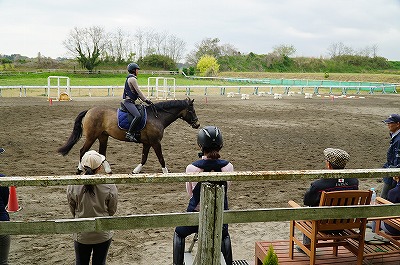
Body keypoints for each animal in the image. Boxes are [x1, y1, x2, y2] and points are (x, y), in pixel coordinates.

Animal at [57, 98, 200, 172]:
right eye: (192, 110)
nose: (197, 124)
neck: (157, 117)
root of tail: (89, 110)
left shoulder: (147, 143)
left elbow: (144, 158)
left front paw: (136, 170)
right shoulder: (155, 142)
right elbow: (161, 158)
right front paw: (166, 173)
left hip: (103, 136)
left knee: (102, 152)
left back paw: (108, 170)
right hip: (92, 136)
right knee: (82, 151)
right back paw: (79, 169)